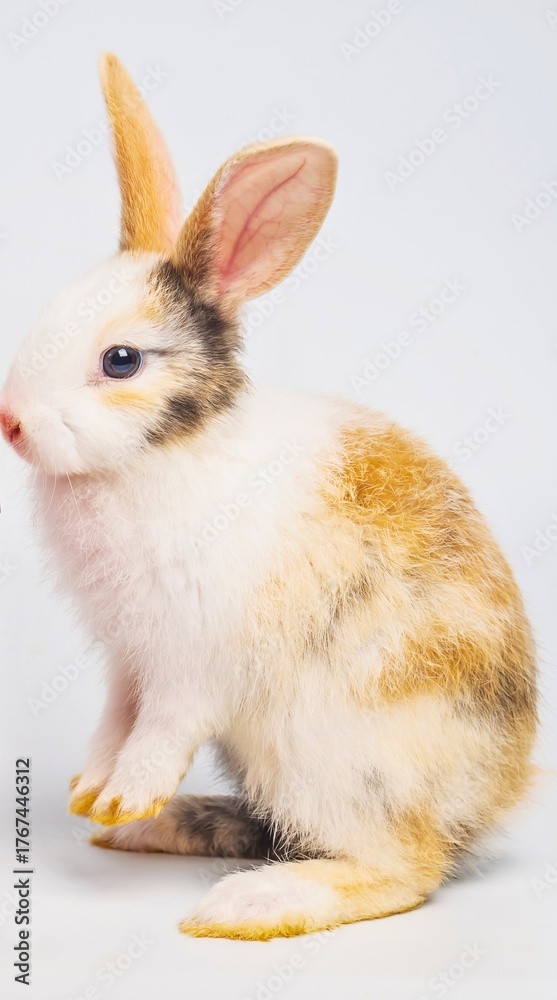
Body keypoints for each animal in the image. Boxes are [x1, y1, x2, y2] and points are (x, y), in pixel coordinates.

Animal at [0, 53, 537, 940]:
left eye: (121, 361)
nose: (10, 421)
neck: (168, 454)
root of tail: (491, 802)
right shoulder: (128, 658)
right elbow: (116, 718)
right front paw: (93, 793)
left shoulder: (190, 663)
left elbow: (162, 727)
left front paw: (124, 792)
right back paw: (160, 828)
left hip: (332, 760)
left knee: (404, 870)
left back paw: (249, 901)